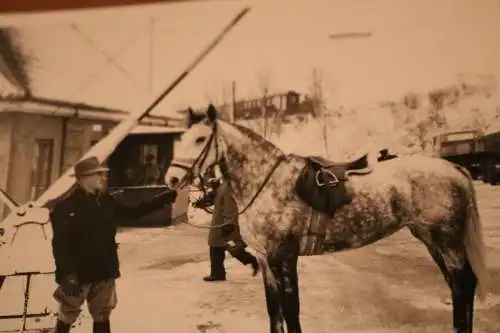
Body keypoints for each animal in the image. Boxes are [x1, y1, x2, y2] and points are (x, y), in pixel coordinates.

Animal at [164, 104, 488, 332]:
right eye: (182, 139)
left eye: (201, 139)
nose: (172, 179)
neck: (267, 183)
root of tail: (453, 169)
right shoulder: (266, 260)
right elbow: (274, 311)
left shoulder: (284, 257)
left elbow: (291, 309)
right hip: (432, 241)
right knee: (457, 286)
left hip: (447, 241)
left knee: (464, 284)